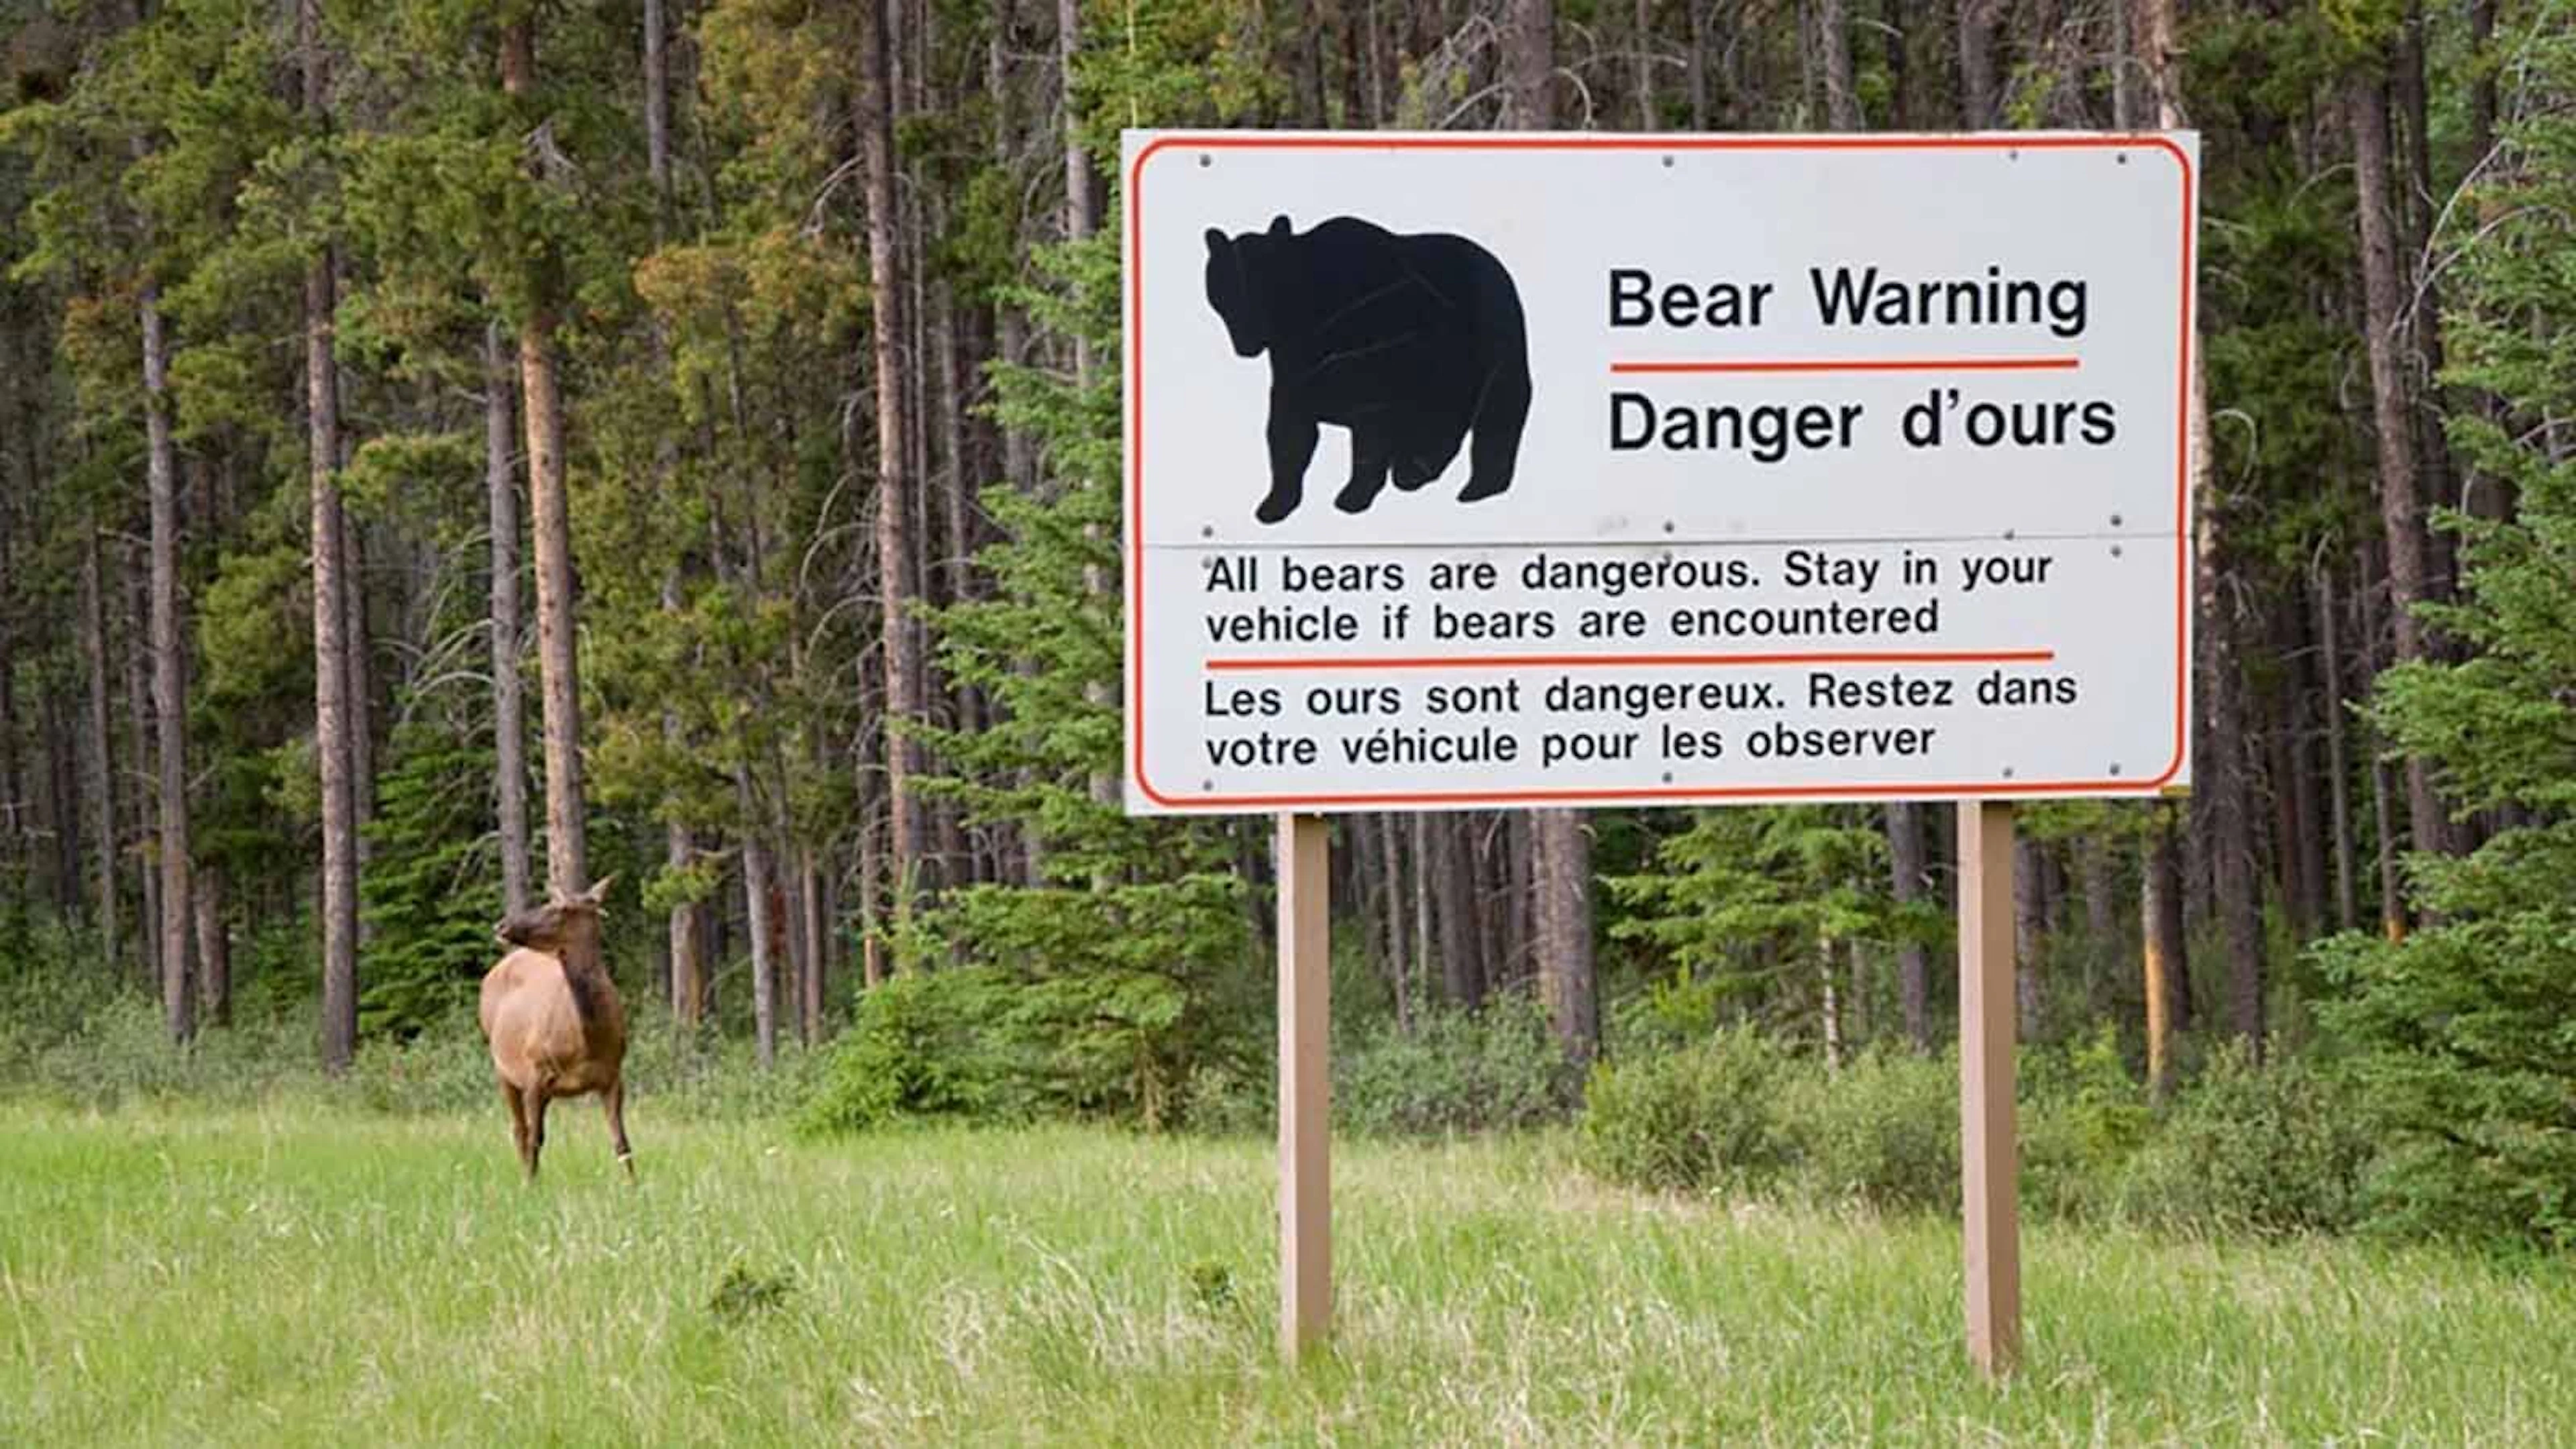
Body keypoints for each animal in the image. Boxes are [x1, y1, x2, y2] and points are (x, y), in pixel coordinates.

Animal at [1202, 215, 1532, 525]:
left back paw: (1471, 485)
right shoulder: (1294, 370)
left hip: (1488, 340)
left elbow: (1370, 432)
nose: (1246, 343)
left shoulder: (1374, 364)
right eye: (1225, 291)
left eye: (1264, 286)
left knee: (1495, 407)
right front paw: (1274, 505)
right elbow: (1289, 434)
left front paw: (1353, 497)